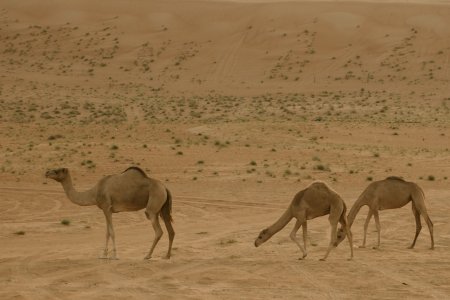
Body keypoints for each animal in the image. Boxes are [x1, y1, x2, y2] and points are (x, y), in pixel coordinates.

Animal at [44, 166, 174, 260]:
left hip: (153, 206)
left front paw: (114, 256)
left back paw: (147, 255)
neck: (94, 192)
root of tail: (165, 187)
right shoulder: (107, 210)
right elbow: (107, 232)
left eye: (57, 170)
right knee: (170, 230)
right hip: (162, 209)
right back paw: (166, 256)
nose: (46, 172)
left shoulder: (106, 207)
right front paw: (103, 255)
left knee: (158, 230)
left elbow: (111, 232)